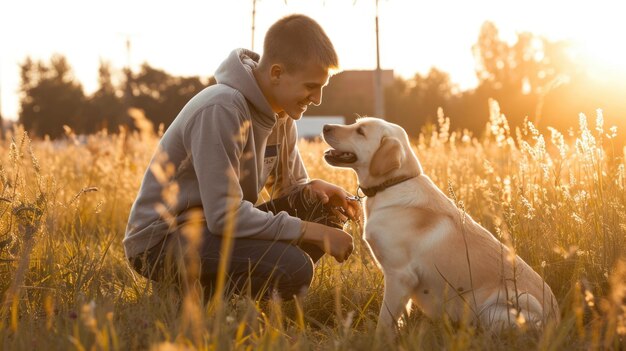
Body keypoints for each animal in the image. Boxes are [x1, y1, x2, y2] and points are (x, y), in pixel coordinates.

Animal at [322, 117, 556, 332]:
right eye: (355, 123)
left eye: (360, 131)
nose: (325, 126)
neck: (392, 184)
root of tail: (555, 318)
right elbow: (399, 317)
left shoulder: (400, 275)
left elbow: (385, 321)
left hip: (499, 308)